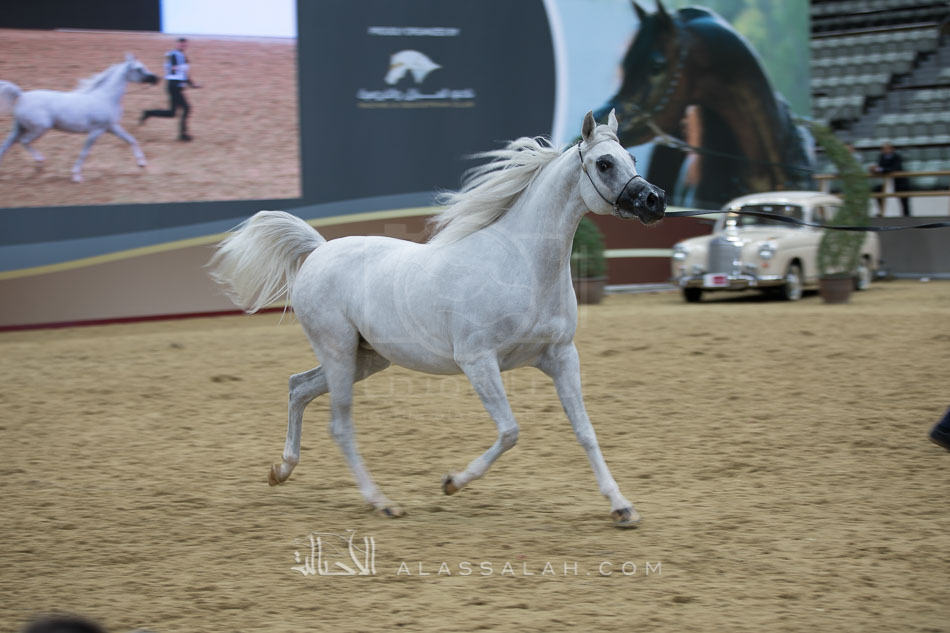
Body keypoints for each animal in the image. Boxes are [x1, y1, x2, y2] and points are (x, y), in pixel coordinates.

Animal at [0, 54, 158, 182]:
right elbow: (84, 152)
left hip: (19, 128)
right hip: (39, 128)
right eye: (139, 69)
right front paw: (76, 176)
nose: (155, 79)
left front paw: (142, 163)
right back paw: (40, 162)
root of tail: (22, 95)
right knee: (24, 141)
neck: (105, 98)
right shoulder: (96, 131)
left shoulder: (111, 127)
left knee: (6, 145)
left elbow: (131, 139)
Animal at [210, 110, 666, 528]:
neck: (521, 266)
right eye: (604, 163)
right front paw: (451, 483)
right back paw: (382, 503)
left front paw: (622, 507)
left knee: (298, 387)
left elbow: (585, 431)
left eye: (632, 158)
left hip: (367, 358)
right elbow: (510, 431)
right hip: (338, 351)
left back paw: (280, 470)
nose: (655, 200)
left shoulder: (561, 357)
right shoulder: (478, 360)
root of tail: (319, 251)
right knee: (339, 425)